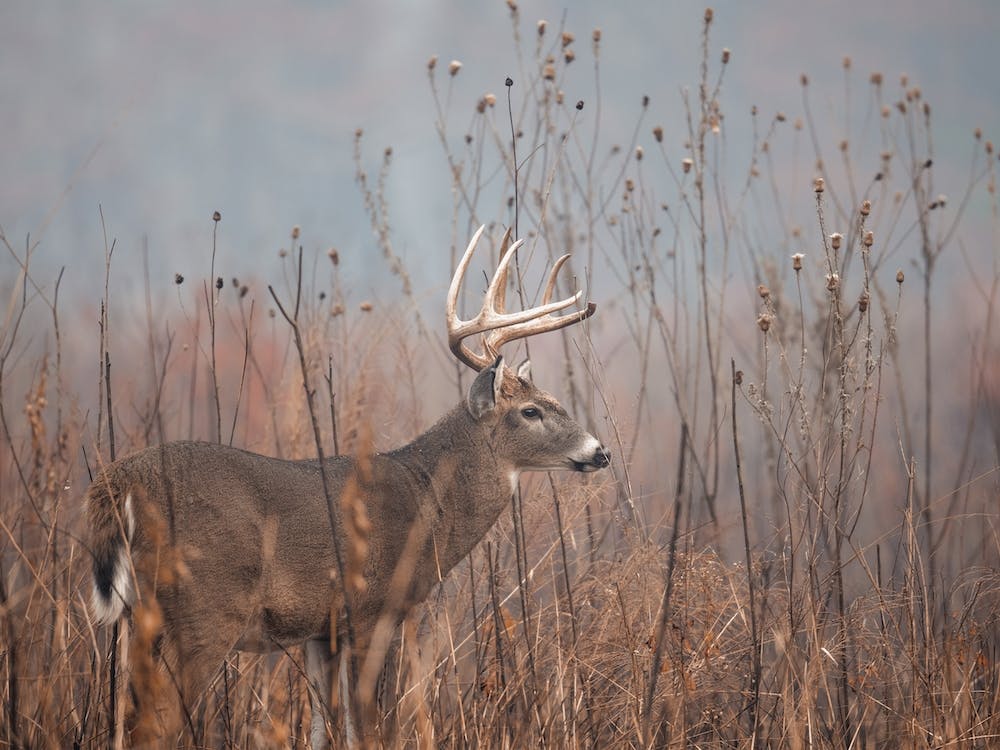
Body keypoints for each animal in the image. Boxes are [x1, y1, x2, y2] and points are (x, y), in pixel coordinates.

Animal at [86, 224, 610, 747]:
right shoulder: (372, 610)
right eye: (531, 411)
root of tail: (120, 480)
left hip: (137, 620)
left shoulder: (323, 632)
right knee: (152, 727)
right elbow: (372, 731)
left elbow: (324, 731)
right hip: (204, 609)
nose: (600, 451)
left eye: (555, 401)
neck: (426, 502)